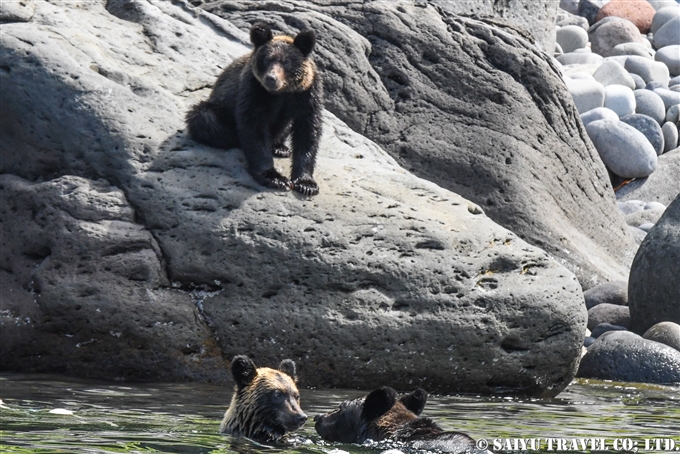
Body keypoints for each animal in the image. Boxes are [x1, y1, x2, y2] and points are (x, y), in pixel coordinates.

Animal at [186, 21, 324, 195]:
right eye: (267, 59)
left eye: (286, 61)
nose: (271, 78)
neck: (281, 93)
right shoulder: (254, 90)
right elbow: (254, 128)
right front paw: (275, 178)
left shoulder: (307, 94)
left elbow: (308, 132)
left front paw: (306, 184)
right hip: (217, 109)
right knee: (203, 118)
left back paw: (280, 147)